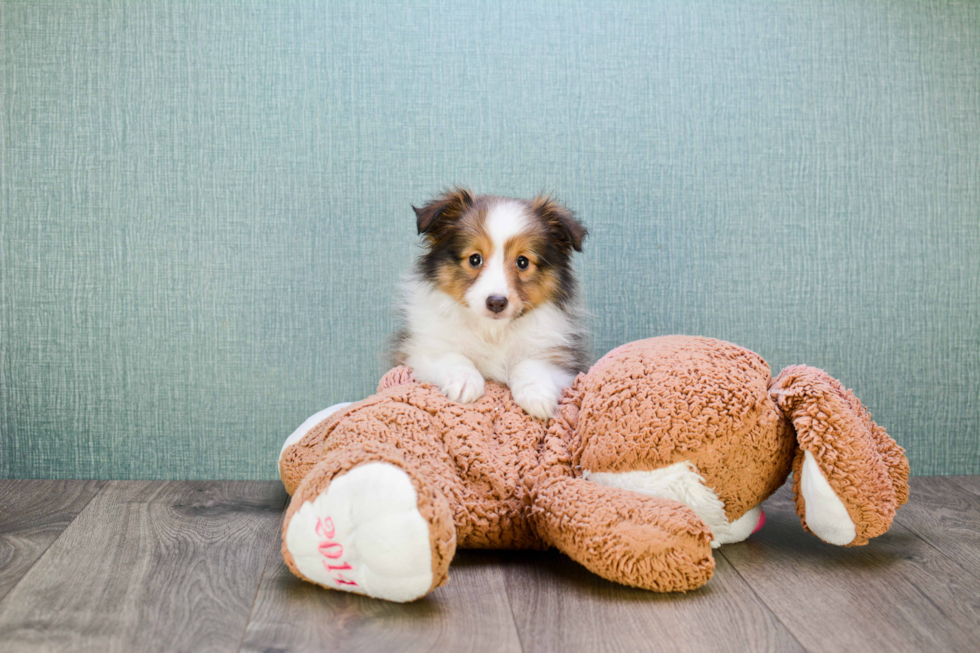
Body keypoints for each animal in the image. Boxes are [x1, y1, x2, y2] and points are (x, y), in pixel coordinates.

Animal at [390, 188, 588, 420]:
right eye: (475, 259)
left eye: (523, 262)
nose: (496, 302)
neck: (492, 331)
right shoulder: (420, 349)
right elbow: (452, 356)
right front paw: (464, 383)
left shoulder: (559, 358)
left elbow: (531, 364)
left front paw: (537, 396)